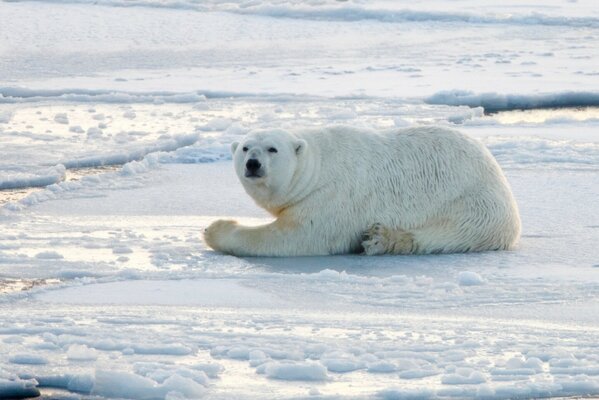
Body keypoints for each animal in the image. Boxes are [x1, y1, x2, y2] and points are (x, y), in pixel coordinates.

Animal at [205, 125, 520, 256]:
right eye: (246, 147)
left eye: (272, 148)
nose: (253, 163)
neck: (319, 165)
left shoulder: (332, 197)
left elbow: (295, 237)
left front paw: (215, 229)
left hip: (472, 202)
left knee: (450, 233)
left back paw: (381, 239)